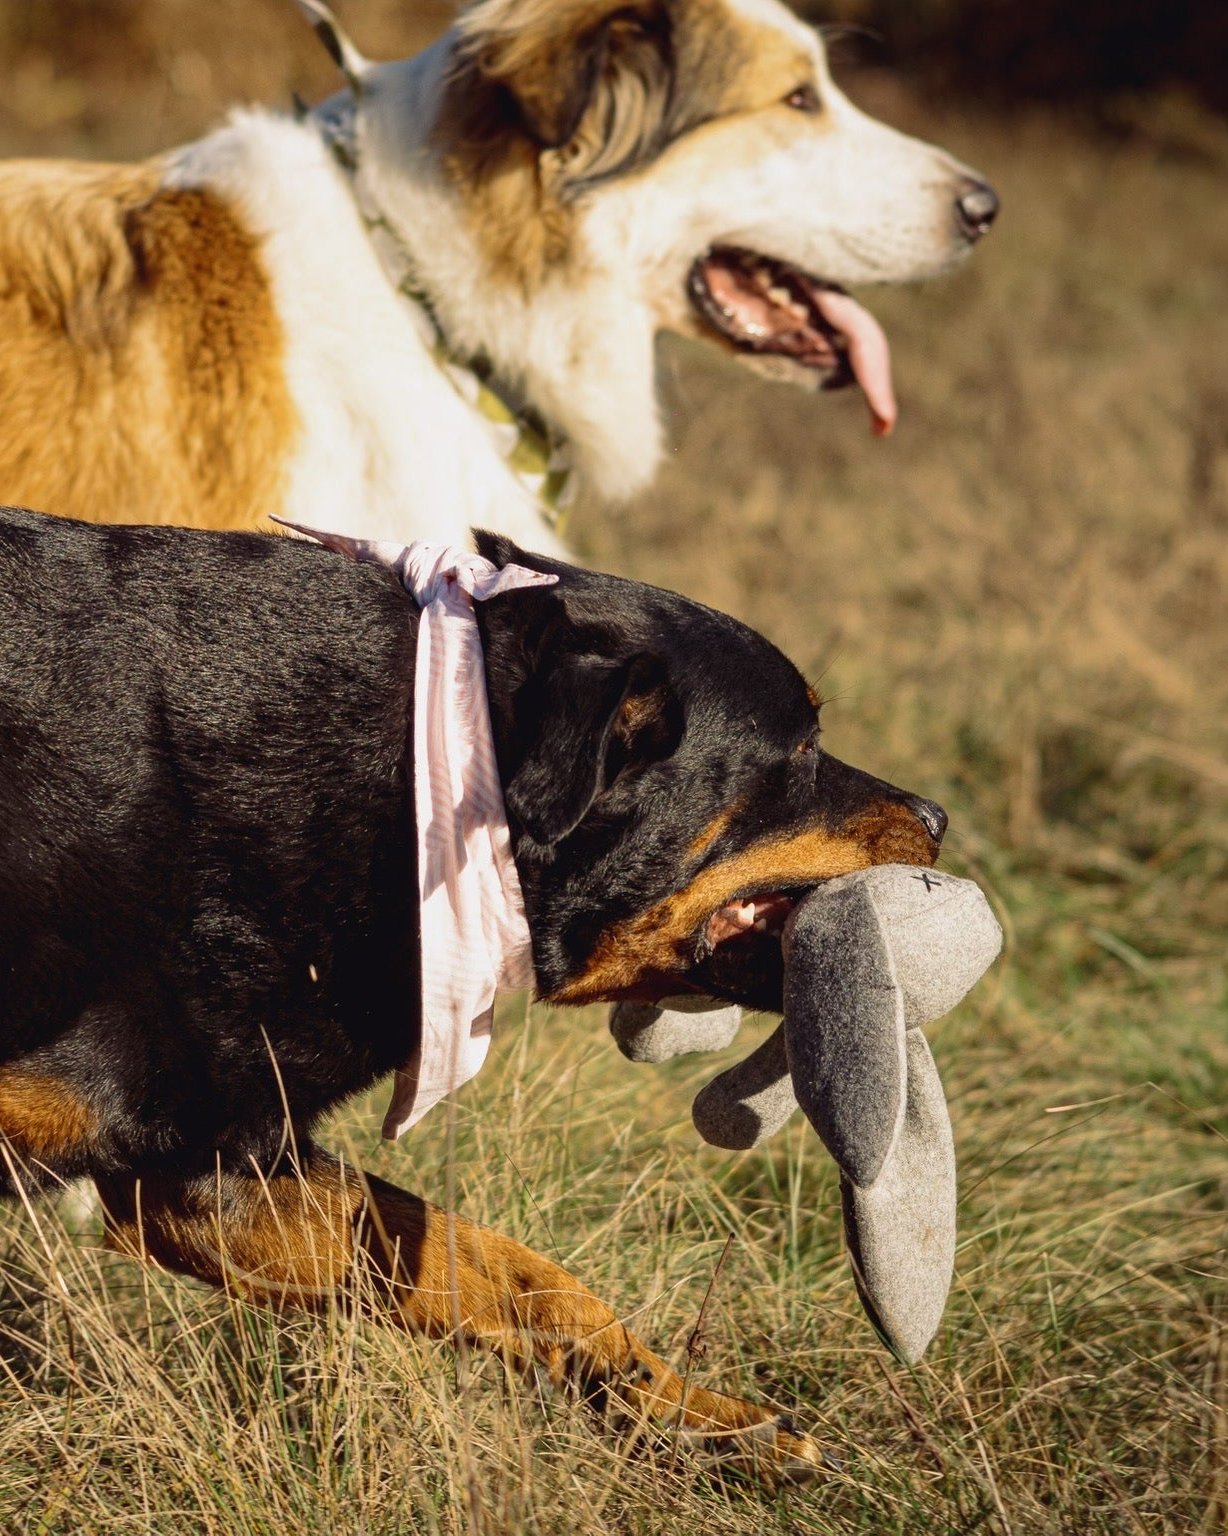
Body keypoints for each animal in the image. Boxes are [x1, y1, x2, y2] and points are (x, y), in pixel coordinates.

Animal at [0, 503, 946, 1474]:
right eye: (801, 753)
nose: (940, 819)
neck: (424, 775)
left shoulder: (212, 1165)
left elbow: (511, 1270)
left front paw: (693, 1413)